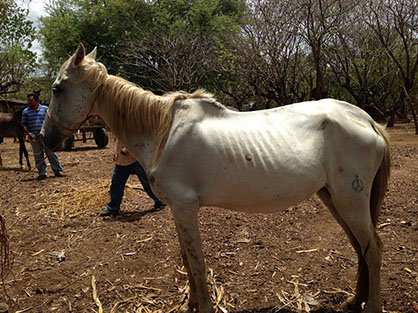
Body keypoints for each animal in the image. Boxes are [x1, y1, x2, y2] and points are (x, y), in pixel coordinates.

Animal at [40, 44, 390, 312]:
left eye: (57, 89)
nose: (44, 138)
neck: (163, 132)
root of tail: (366, 119)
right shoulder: (177, 211)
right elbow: (186, 259)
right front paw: (190, 304)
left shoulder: (185, 208)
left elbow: (196, 262)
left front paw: (203, 306)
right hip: (333, 197)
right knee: (360, 247)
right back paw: (354, 301)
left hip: (349, 199)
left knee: (372, 248)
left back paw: (371, 305)